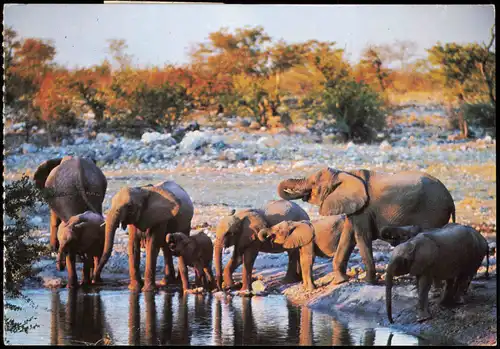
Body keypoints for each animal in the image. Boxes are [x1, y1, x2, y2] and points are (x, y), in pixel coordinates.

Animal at [278, 167, 458, 284]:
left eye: (314, 183)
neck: (345, 173)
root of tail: (450, 199)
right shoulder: (355, 208)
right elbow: (348, 237)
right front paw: (341, 281)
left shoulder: (364, 209)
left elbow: (361, 237)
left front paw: (368, 281)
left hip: (432, 212)